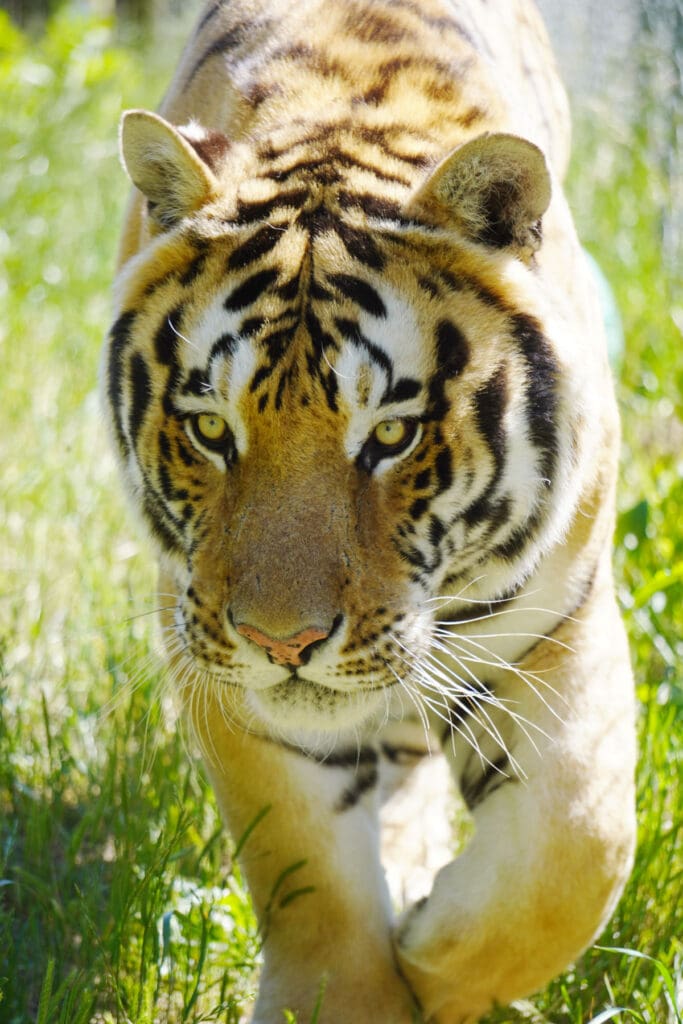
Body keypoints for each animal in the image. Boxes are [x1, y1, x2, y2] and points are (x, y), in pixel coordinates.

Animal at [102, 0, 637, 1021]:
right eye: (209, 428)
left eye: (390, 435)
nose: (281, 643)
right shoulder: (217, 661)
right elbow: (307, 871)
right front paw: (361, 986)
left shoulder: (561, 622)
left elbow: (576, 845)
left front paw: (433, 957)